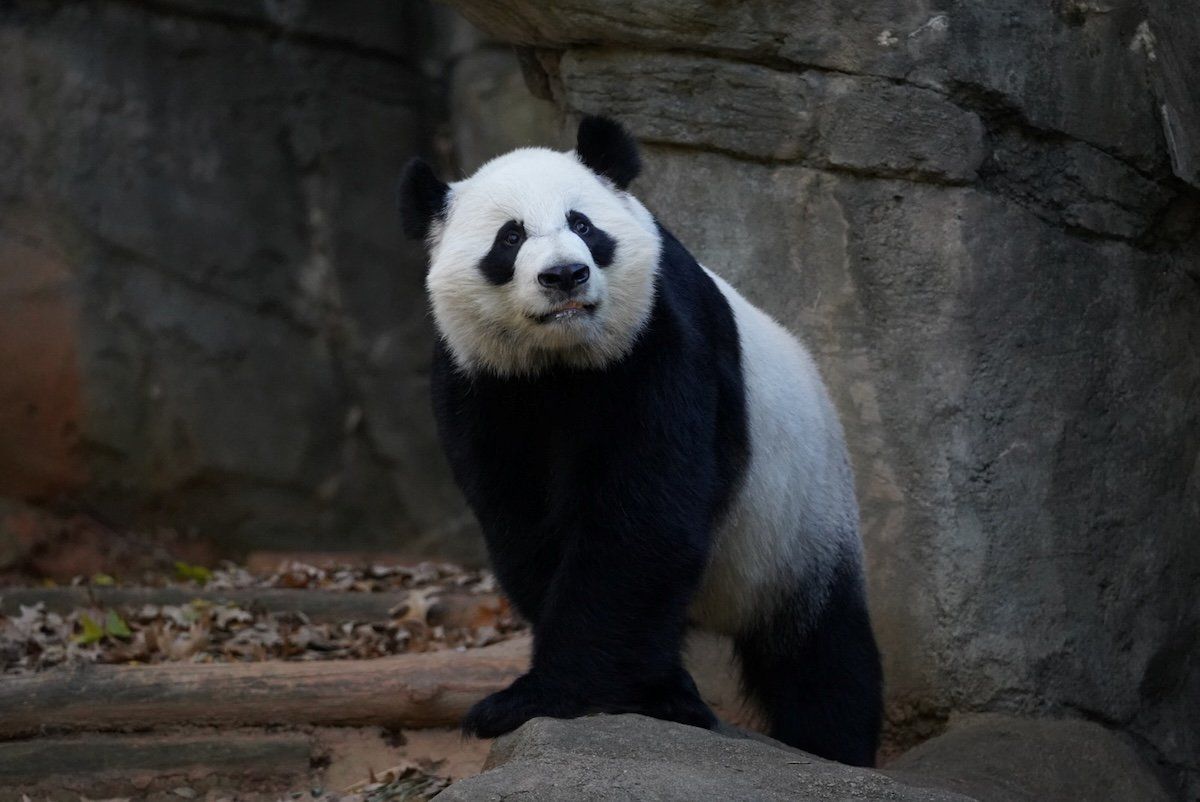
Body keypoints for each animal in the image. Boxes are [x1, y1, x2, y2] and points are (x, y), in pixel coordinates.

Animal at [400, 117, 883, 763]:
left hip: (802, 522)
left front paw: (537, 697)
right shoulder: (482, 381)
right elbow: (523, 524)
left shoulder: (661, 339)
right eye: (510, 238)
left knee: (823, 652)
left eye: (582, 224)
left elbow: (643, 520)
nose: (565, 276)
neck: (561, 362)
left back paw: (831, 743)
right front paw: (631, 691)